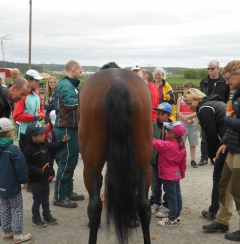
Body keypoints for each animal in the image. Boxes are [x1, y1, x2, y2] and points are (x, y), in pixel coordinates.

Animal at [79, 62, 153, 244]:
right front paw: (132, 219)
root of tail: (117, 81)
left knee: (95, 207)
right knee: (144, 205)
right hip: (143, 161)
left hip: (90, 165)